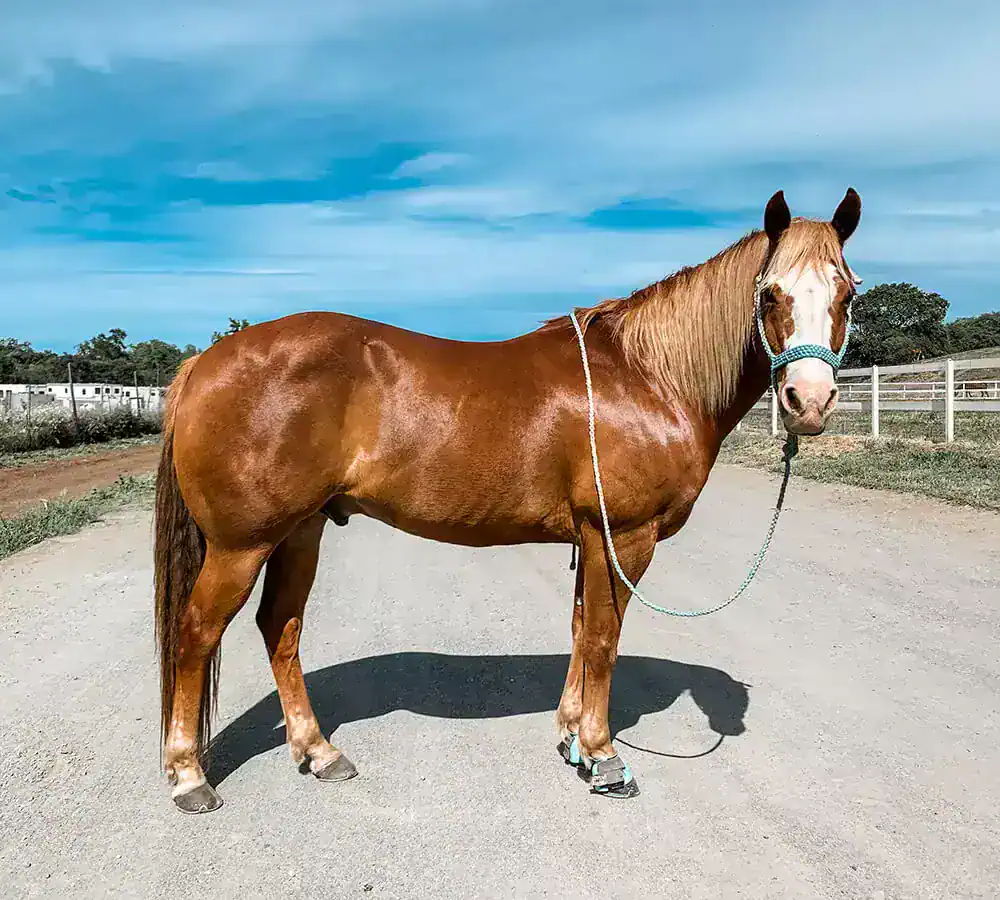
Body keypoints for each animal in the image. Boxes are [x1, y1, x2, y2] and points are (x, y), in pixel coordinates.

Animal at [154, 188, 862, 813]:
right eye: (769, 293)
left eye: (848, 292)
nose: (809, 402)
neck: (647, 377)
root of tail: (203, 364)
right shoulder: (623, 536)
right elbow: (604, 638)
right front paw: (603, 756)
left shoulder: (590, 537)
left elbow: (580, 629)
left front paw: (571, 736)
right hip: (241, 545)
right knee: (196, 634)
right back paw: (189, 776)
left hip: (300, 531)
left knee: (281, 628)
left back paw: (319, 752)